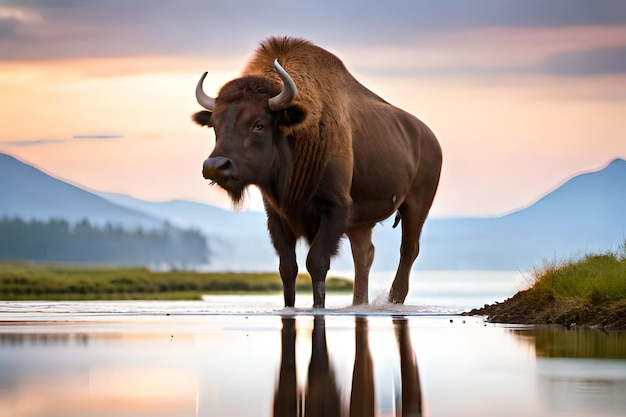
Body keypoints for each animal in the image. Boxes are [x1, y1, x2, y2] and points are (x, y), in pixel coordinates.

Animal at [190, 37, 438, 308]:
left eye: (259, 124)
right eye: (214, 124)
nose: (215, 166)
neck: (297, 134)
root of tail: (429, 138)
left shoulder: (334, 209)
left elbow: (316, 262)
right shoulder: (277, 216)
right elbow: (287, 268)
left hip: (416, 205)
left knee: (408, 250)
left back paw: (394, 300)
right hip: (361, 223)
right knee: (364, 254)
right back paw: (359, 303)